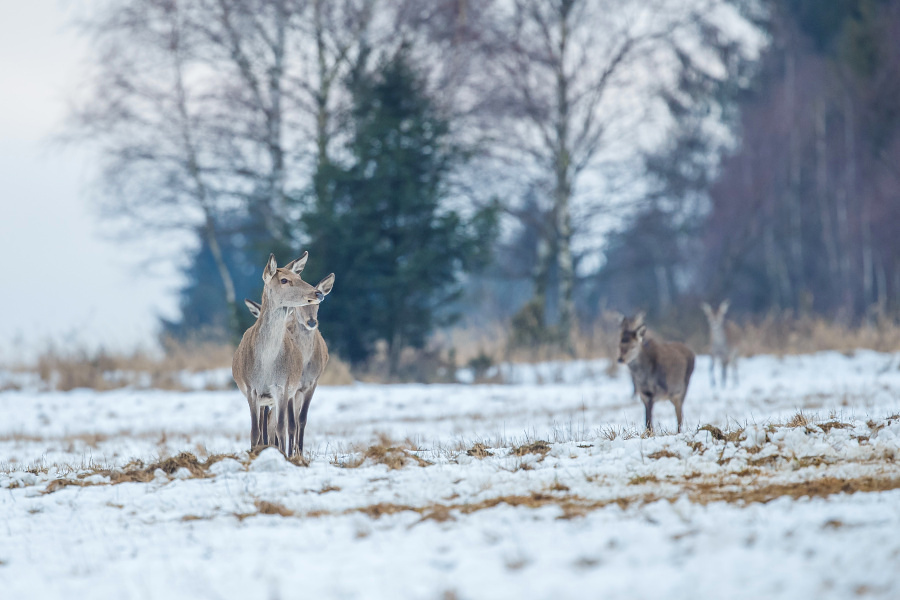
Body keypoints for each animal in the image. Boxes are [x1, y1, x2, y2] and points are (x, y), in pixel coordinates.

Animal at [232, 252, 326, 454]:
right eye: (284, 280)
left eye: (299, 276)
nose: (318, 293)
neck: (266, 364)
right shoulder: (251, 389)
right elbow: (254, 432)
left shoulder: (283, 388)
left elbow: (281, 428)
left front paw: (284, 455)